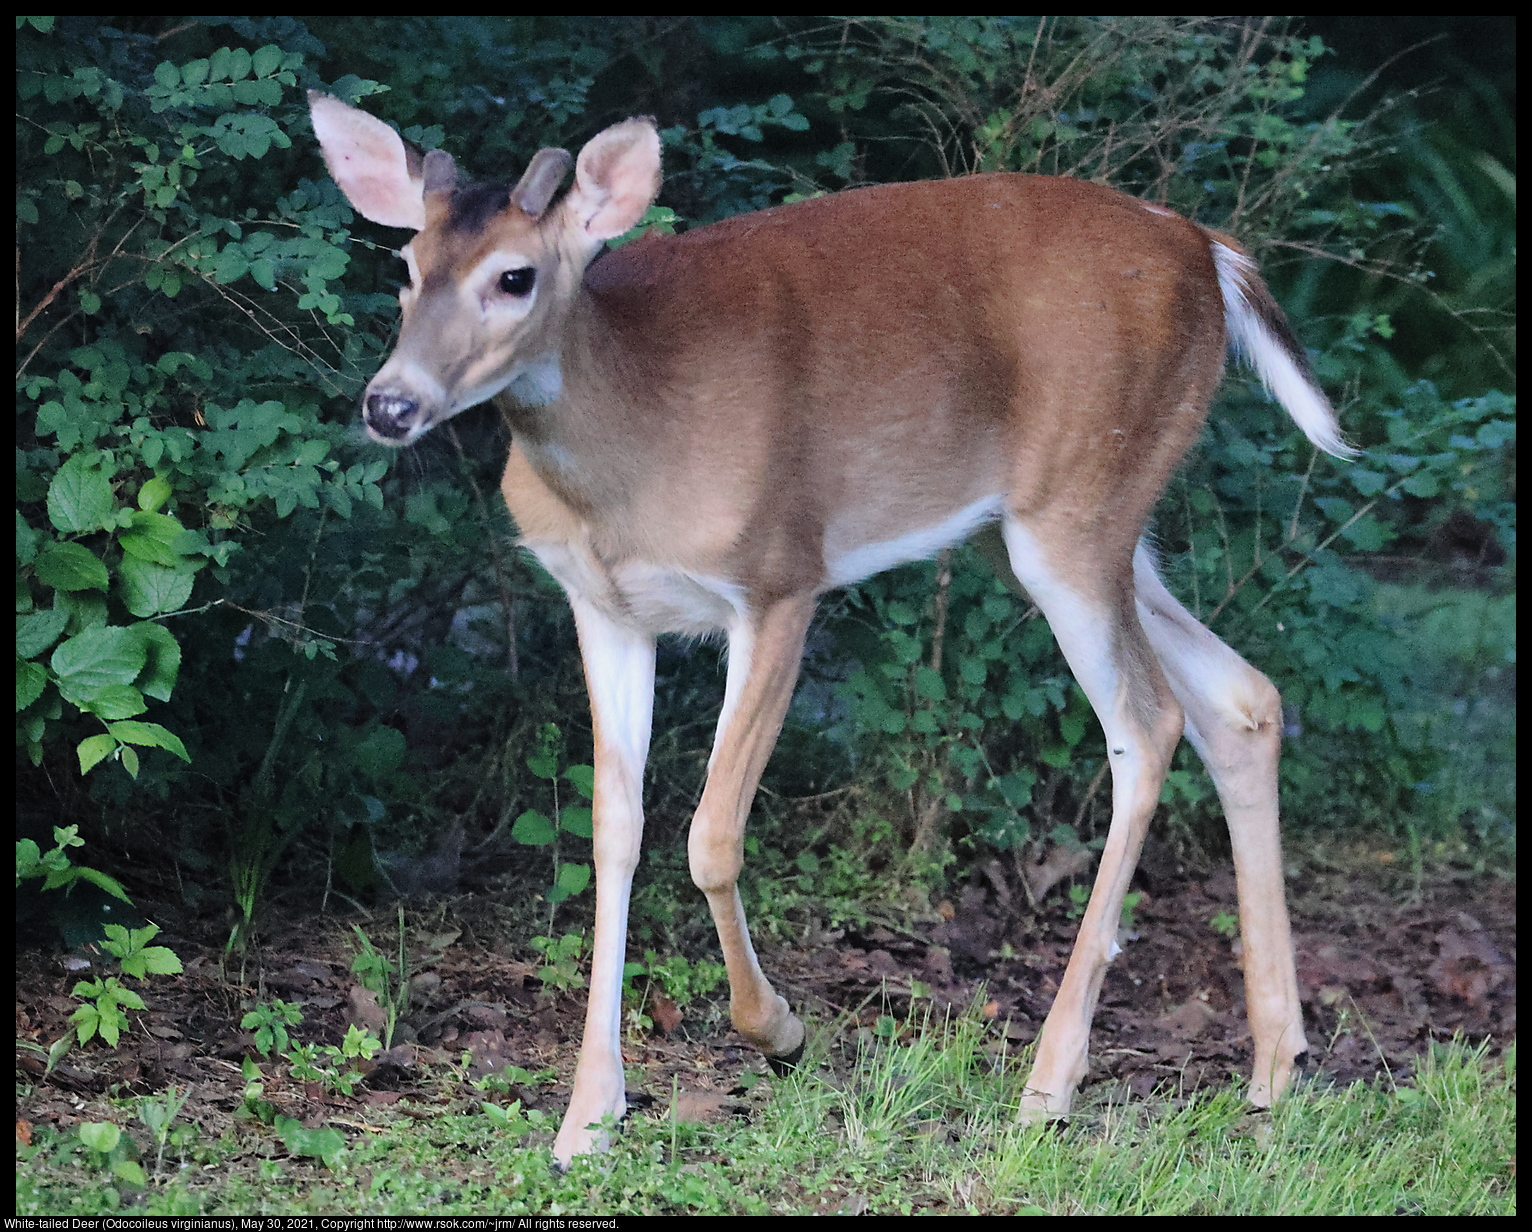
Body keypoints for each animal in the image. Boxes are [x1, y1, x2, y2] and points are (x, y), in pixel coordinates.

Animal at [314, 91, 1354, 1158]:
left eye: (515, 277)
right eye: (405, 267)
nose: (390, 404)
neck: (632, 448)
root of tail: (1211, 250)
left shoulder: (780, 577)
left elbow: (712, 835)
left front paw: (777, 1030)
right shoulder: (603, 609)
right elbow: (612, 832)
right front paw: (588, 1116)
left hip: (1080, 500)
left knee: (1148, 725)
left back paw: (1051, 1082)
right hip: (1044, 529)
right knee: (1243, 697)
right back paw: (1275, 1068)